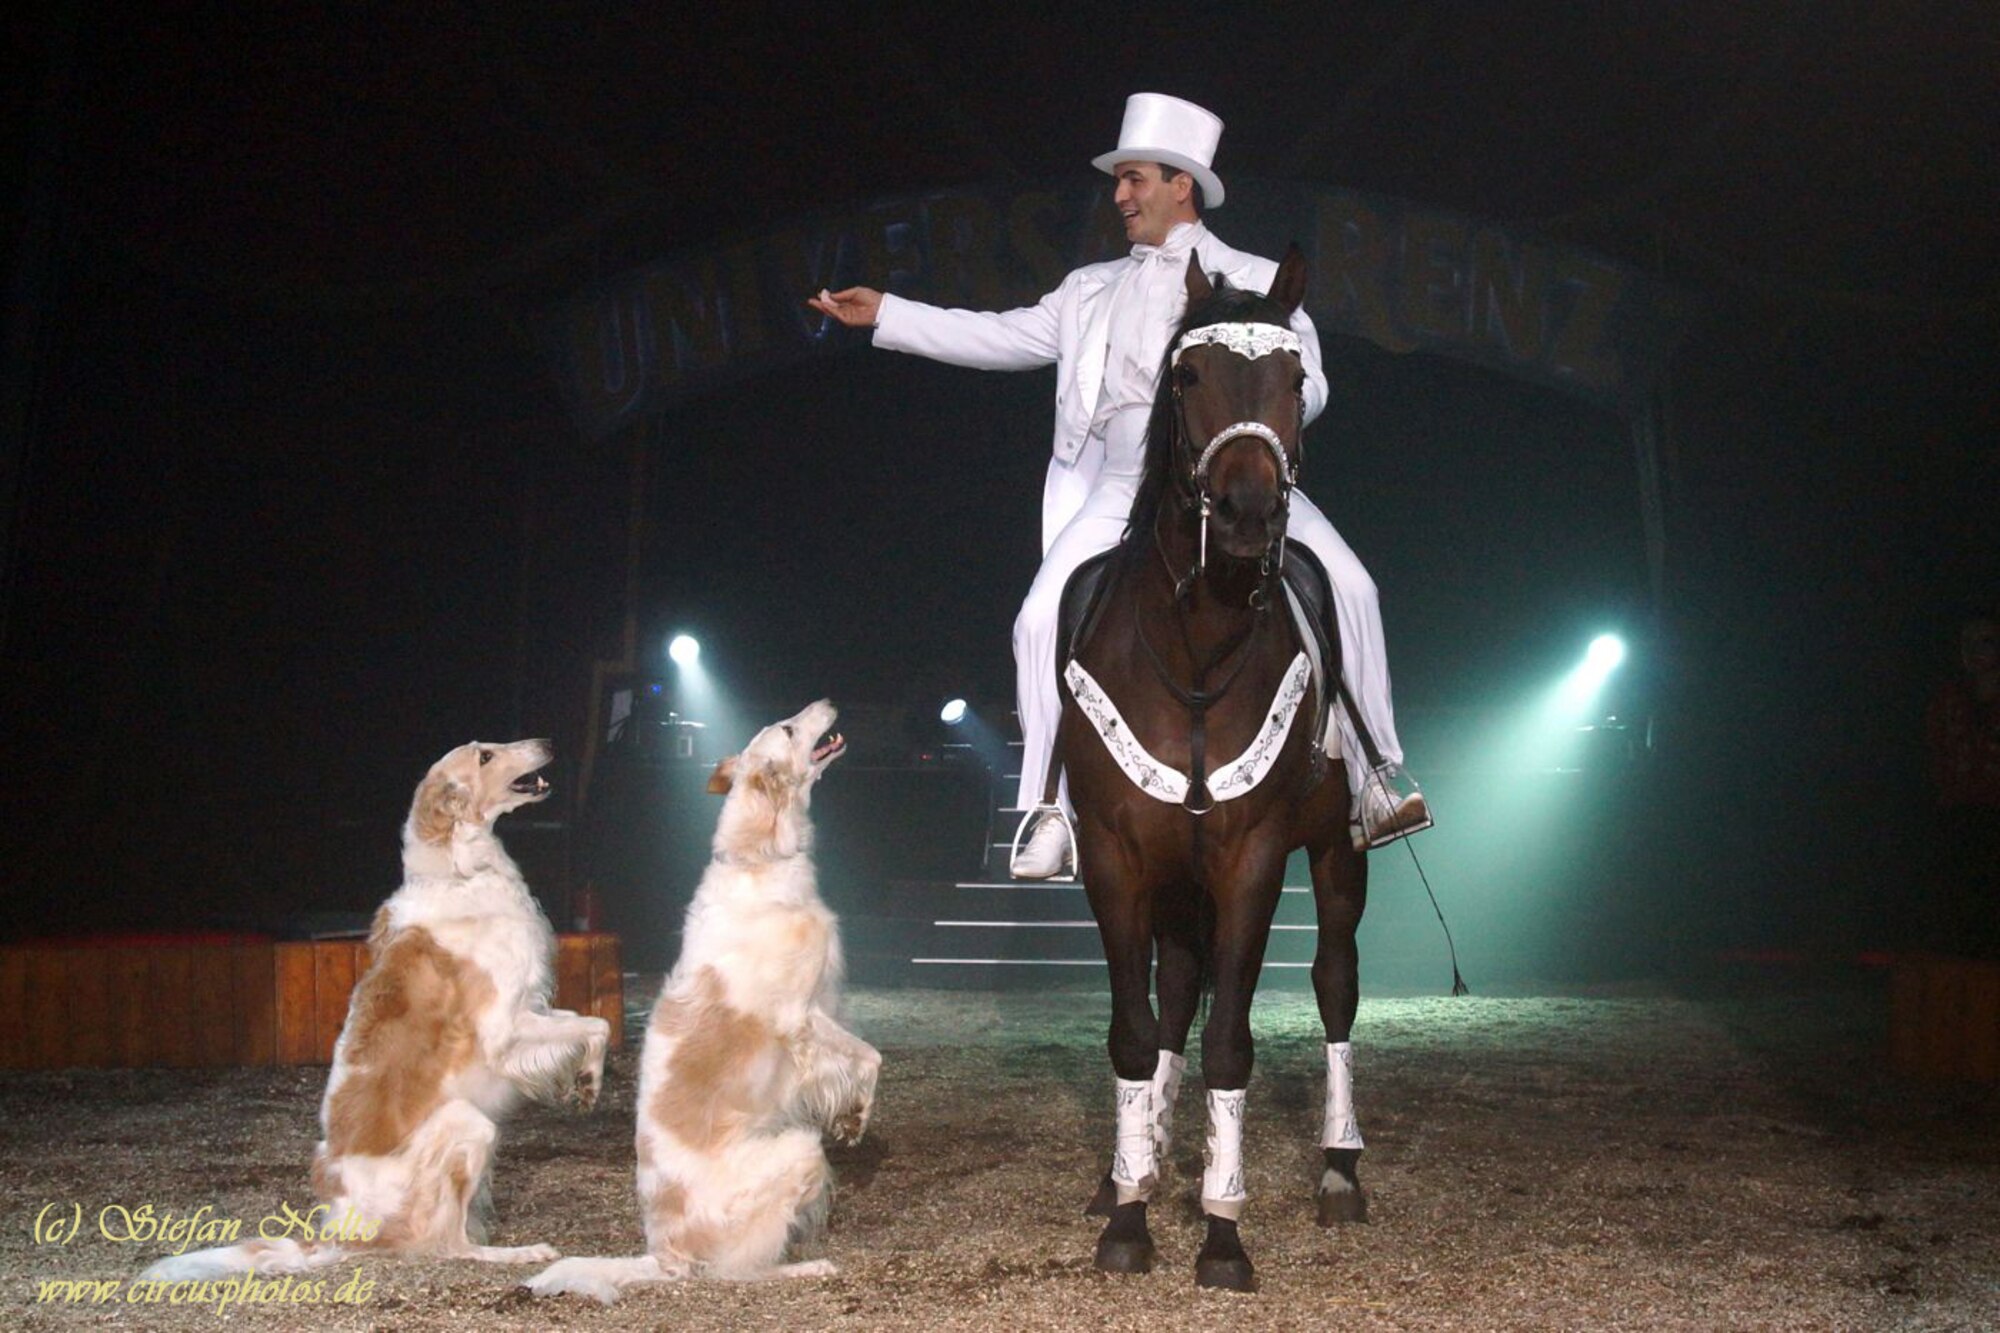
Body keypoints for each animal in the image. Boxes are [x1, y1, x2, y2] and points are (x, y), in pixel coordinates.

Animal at [143, 736, 608, 1280]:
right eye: (485, 756)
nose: (548, 743)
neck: (457, 874)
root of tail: (336, 1233)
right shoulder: (504, 1029)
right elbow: (598, 1022)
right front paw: (588, 1084)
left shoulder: (532, 1011)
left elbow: (591, 1024)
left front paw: (587, 1083)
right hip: (470, 1125)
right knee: (448, 1244)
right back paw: (518, 1253)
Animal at [528, 696, 880, 1296]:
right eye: (789, 729)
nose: (829, 702)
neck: (760, 860)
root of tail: (662, 1254)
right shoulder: (801, 1015)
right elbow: (870, 1057)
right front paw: (856, 1116)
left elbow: (868, 1055)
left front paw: (854, 1116)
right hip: (799, 1150)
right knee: (738, 1270)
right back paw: (805, 1266)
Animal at [1064, 249, 1376, 1288]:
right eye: (1189, 375)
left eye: (1296, 377)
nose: (1244, 513)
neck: (1197, 644)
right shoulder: (1119, 857)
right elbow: (1135, 1031)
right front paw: (1129, 1213)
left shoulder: (1251, 857)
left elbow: (1231, 1043)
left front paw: (1222, 1230)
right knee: (1173, 1000)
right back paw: (1137, 1164)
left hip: (1338, 854)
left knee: (1335, 981)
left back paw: (1339, 1167)